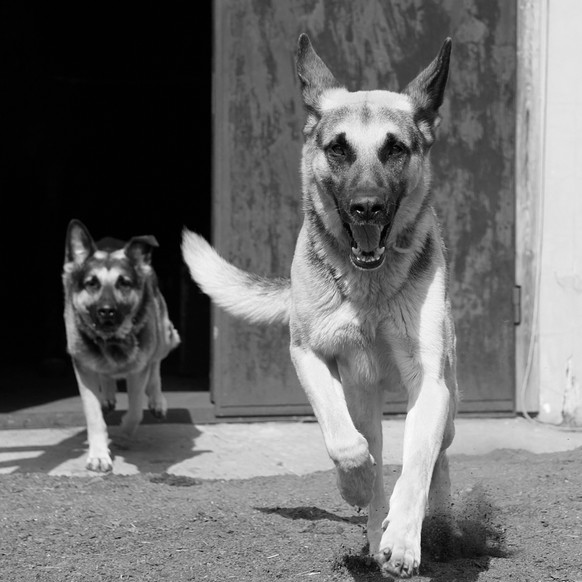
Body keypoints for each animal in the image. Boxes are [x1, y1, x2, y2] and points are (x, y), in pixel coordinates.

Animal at [62, 219, 179, 474]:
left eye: (123, 283)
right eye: (91, 283)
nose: (106, 311)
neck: (112, 341)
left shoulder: (138, 369)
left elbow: (135, 411)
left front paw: (124, 434)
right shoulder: (83, 368)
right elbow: (94, 415)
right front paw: (98, 455)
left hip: (166, 335)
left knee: (156, 362)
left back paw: (157, 399)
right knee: (106, 375)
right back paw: (107, 394)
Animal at [182, 36, 460, 580]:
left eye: (395, 148)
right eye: (338, 148)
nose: (367, 207)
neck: (370, 289)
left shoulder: (430, 381)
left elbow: (416, 465)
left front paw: (405, 540)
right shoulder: (309, 355)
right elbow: (345, 444)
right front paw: (357, 487)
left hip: (449, 405)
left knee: (436, 458)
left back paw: (428, 521)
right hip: (362, 397)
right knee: (369, 446)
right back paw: (373, 521)